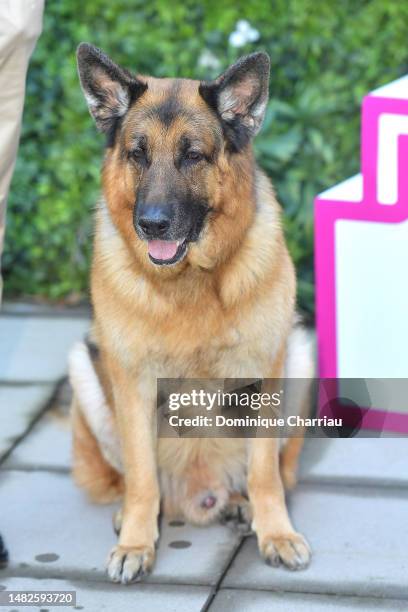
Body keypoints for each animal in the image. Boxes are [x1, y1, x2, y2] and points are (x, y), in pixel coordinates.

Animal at [71, 43, 312, 584]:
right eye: (137, 154)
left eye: (193, 156)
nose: (152, 223)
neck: (191, 283)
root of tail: (200, 495)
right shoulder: (133, 382)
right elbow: (141, 477)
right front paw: (136, 543)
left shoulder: (266, 372)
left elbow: (265, 472)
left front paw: (276, 532)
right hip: (84, 369)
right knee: (134, 480)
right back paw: (131, 517)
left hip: (301, 354)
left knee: (274, 471)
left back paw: (243, 505)